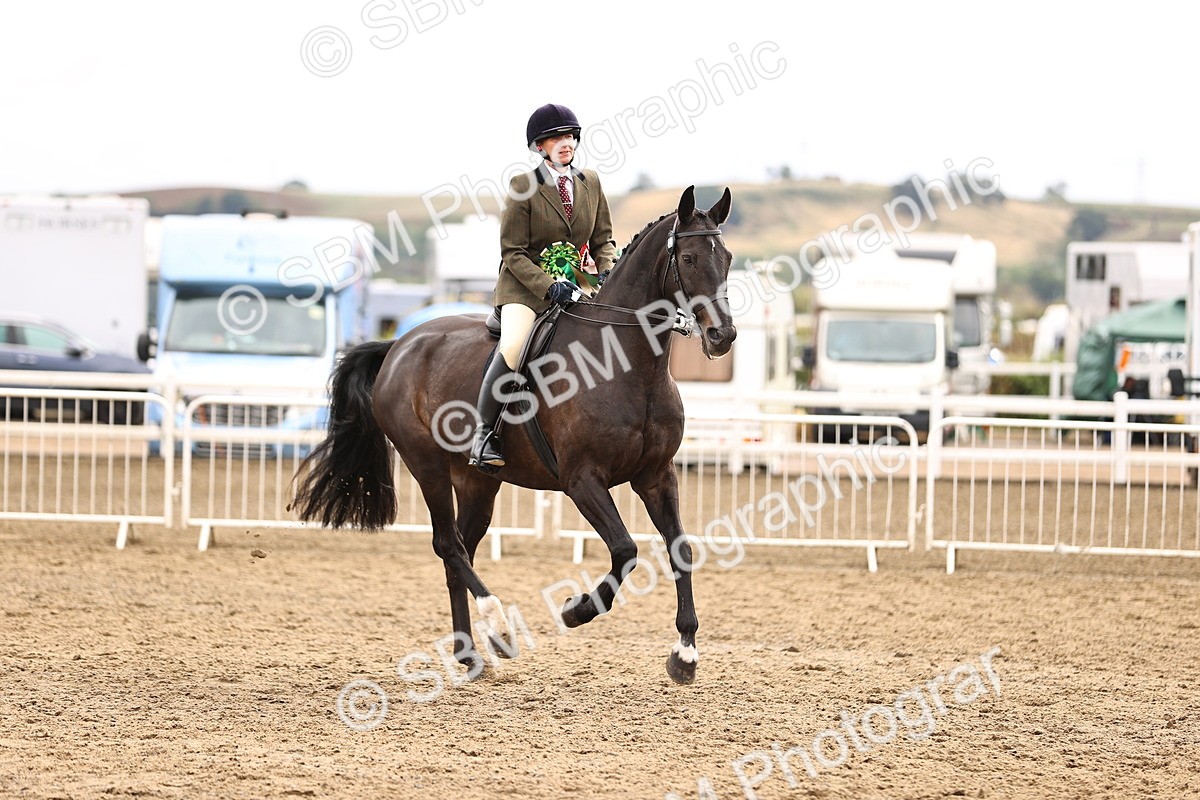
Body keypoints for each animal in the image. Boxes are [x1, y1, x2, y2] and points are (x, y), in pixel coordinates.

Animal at [293, 185, 735, 684]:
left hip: (477, 481)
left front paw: (685, 654)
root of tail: (400, 344)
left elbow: (680, 550)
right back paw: (499, 625)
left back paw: (470, 653)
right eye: (691, 258)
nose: (723, 336)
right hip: (425, 464)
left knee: (459, 550)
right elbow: (624, 549)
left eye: (727, 258)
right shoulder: (582, 480)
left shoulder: (657, 475)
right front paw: (576, 609)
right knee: (448, 544)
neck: (627, 366)